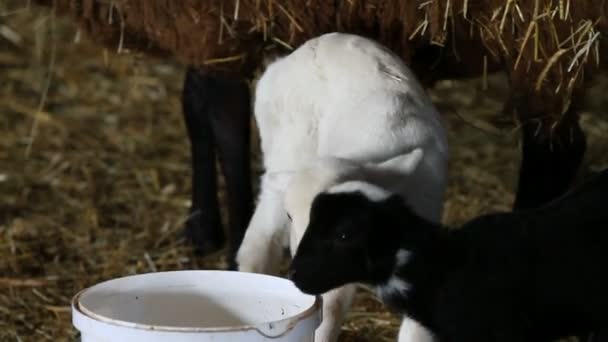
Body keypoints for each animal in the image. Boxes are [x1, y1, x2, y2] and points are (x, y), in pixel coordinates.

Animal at [32, 1, 604, 272]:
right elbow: (194, 105)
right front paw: (201, 227)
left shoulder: (212, 24)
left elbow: (224, 124)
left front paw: (231, 240)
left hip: (549, 34)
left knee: (553, 146)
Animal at [235, 32, 448, 342]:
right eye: (291, 217)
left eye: (341, 231)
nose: (300, 272)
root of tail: (319, 42)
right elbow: (329, 313)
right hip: (281, 153)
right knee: (261, 236)